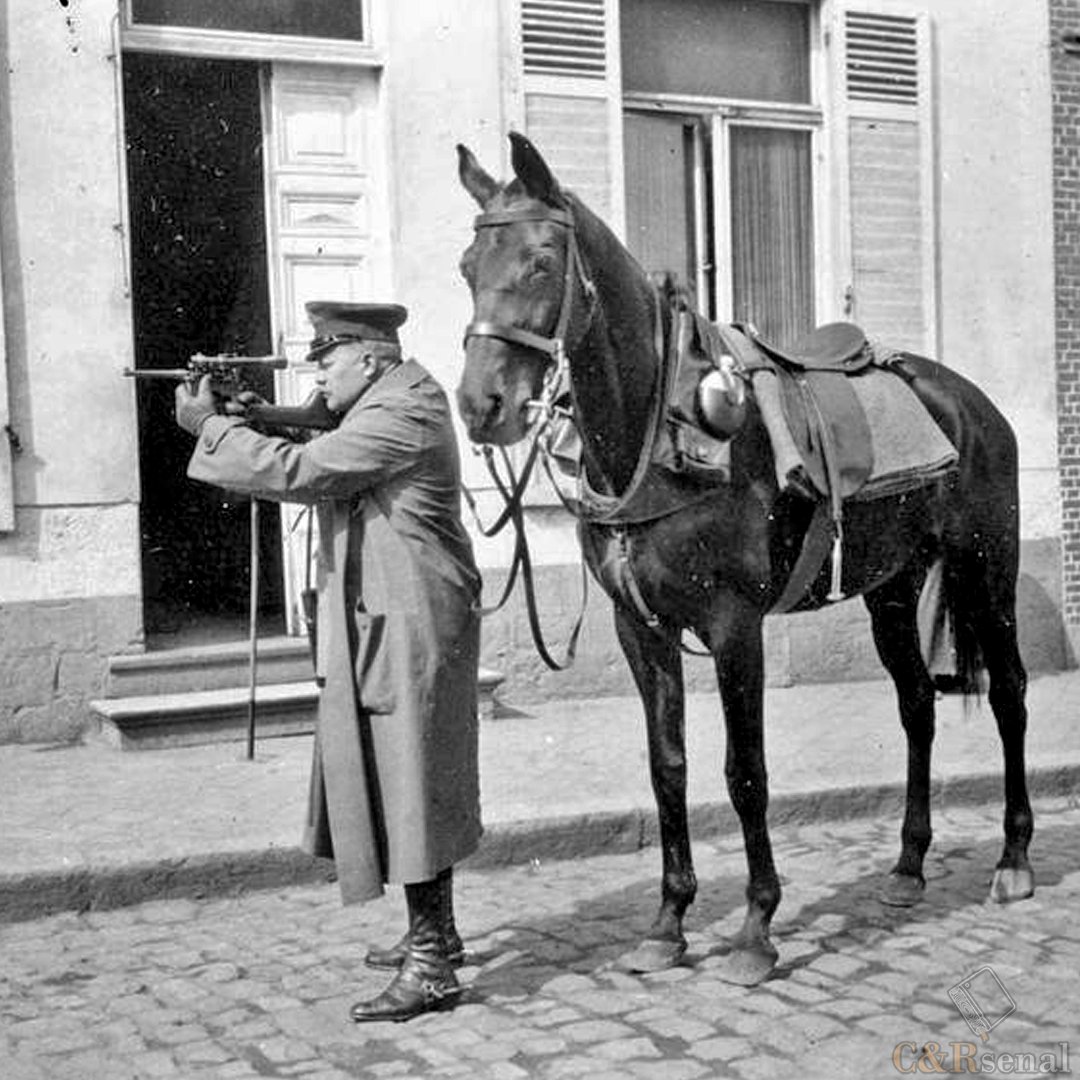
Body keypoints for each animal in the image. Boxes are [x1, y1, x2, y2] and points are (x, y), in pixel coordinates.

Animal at [454, 131, 1034, 986]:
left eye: (541, 260)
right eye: (469, 266)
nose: (481, 405)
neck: (661, 437)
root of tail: (971, 404)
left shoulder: (735, 628)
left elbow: (745, 772)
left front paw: (757, 928)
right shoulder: (642, 629)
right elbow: (668, 767)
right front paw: (668, 923)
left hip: (983, 573)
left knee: (1010, 697)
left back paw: (1014, 860)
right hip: (891, 591)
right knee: (917, 707)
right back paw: (906, 867)